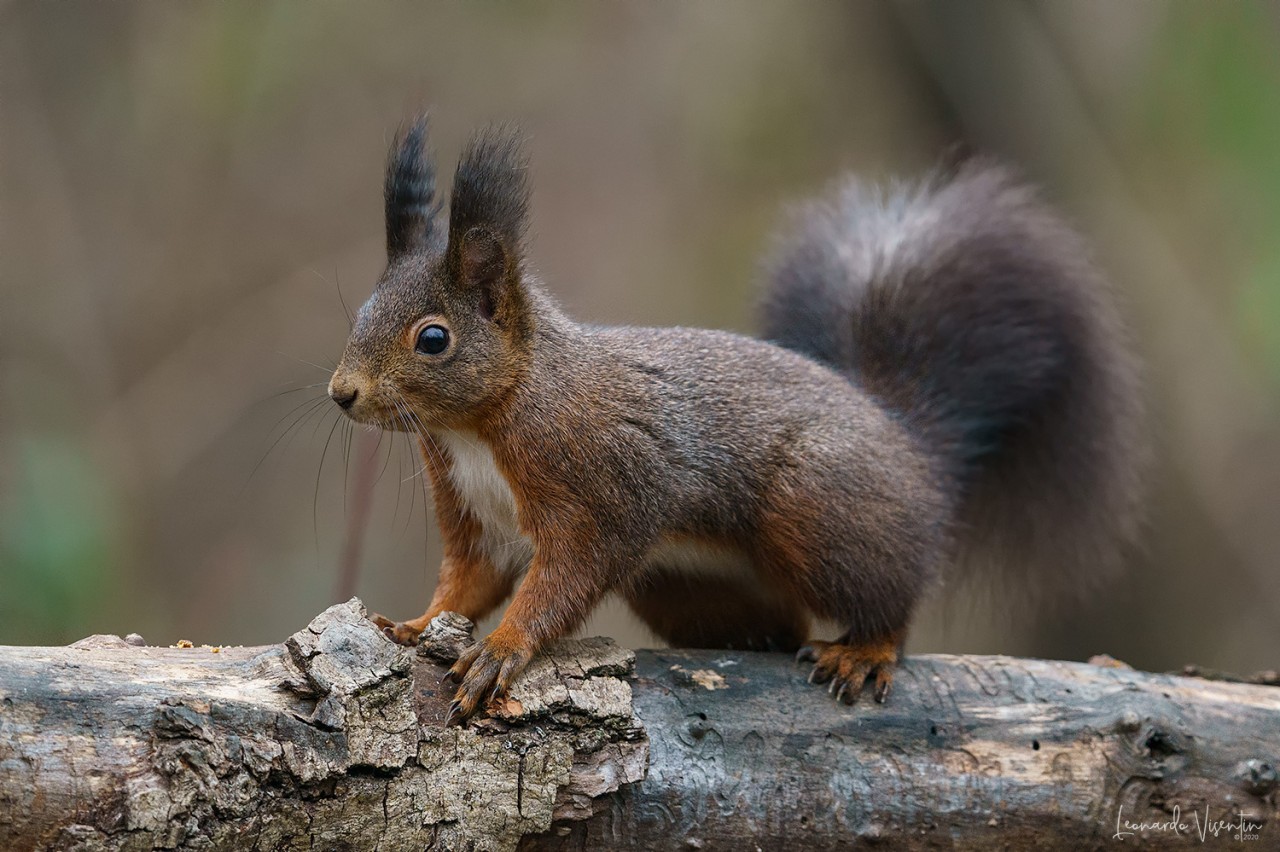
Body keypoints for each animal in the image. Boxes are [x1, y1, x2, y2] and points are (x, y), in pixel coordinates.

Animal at [328, 116, 1143, 721]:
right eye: (362, 310)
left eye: (434, 339)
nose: (342, 392)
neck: (481, 424)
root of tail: (909, 445)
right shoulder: (477, 512)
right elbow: (469, 581)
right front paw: (414, 625)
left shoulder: (602, 483)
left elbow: (567, 575)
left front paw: (503, 649)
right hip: (682, 584)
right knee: (781, 623)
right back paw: (759, 639)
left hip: (819, 506)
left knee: (892, 595)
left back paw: (866, 650)